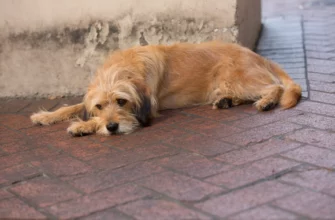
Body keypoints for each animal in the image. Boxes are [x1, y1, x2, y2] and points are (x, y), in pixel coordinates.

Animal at [30, 40, 304, 135]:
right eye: (99, 105)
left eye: (122, 101)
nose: (112, 127)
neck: (123, 68)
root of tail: (257, 56)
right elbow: (74, 106)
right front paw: (47, 116)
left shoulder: (148, 107)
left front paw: (83, 126)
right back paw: (227, 101)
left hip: (235, 79)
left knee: (275, 86)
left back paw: (267, 101)